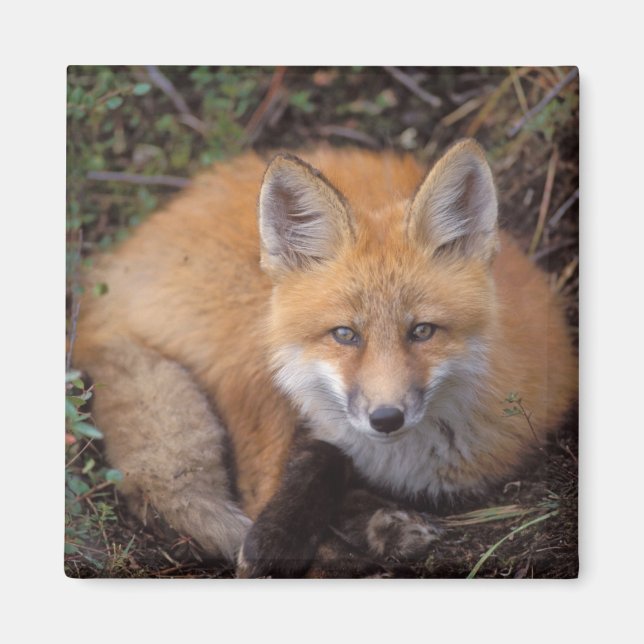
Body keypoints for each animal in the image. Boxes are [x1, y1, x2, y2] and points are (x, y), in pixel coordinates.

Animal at [72, 139, 577, 577]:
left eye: (422, 331)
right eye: (345, 334)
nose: (386, 418)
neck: (401, 461)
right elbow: (312, 468)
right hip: (254, 352)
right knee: (256, 487)